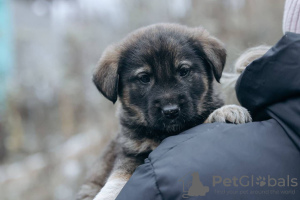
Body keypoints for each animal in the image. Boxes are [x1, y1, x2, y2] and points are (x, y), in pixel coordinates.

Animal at [77, 23, 251, 200]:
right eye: (144, 78)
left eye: (184, 71)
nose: (171, 111)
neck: (164, 134)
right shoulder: (131, 151)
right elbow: (119, 175)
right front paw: (107, 194)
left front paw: (225, 111)